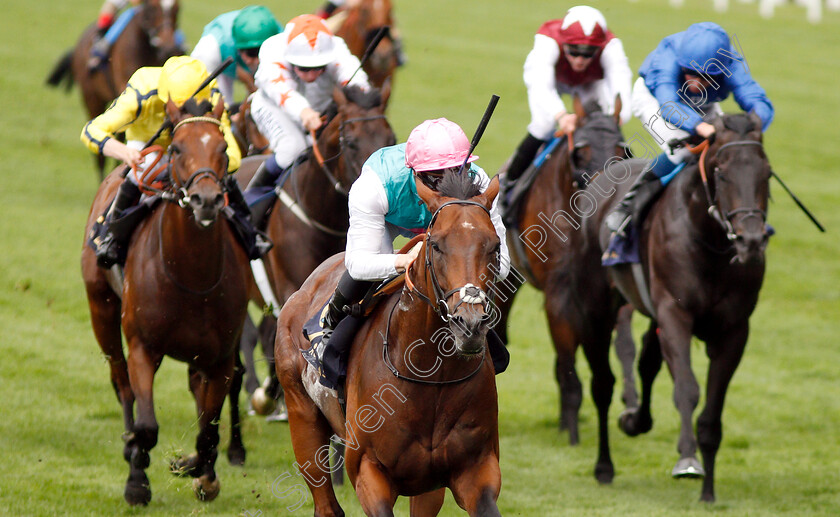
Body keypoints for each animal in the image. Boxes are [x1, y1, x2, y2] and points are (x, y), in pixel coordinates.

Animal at [81, 100, 253, 504]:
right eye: (176, 149)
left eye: (223, 149)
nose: (206, 200)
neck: (192, 278)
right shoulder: (144, 347)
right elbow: (147, 425)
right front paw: (137, 479)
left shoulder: (219, 358)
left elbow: (208, 430)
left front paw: (200, 472)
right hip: (102, 309)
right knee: (121, 382)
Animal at [278, 171, 506, 512]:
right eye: (436, 245)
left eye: (494, 245)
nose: (470, 325)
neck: (431, 378)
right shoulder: (368, 472)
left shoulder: (476, 469)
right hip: (302, 421)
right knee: (327, 504)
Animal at [568, 113, 772, 500]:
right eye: (722, 172)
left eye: (766, 173)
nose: (751, 241)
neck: (709, 243)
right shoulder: (676, 315)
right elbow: (687, 390)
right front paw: (688, 462)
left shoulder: (734, 329)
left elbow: (712, 411)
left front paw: (708, 490)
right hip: (595, 307)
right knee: (603, 384)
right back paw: (604, 465)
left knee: (647, 362)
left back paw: (635, 420)